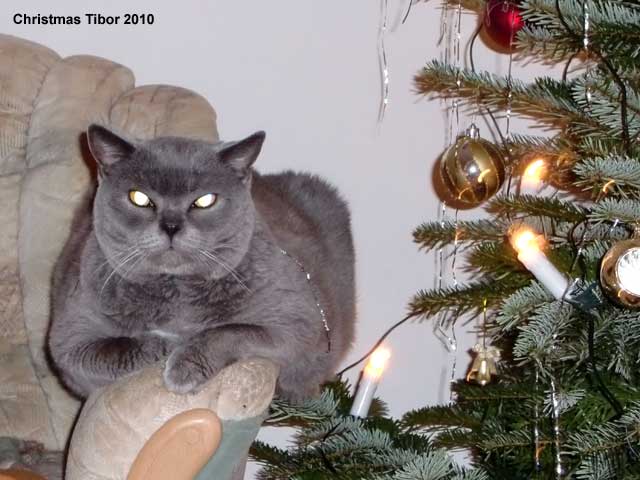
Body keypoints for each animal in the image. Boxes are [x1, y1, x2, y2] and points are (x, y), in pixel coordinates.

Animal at [48, 125, 356, 403]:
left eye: (205, 200)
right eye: (139, 198)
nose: (171, 226)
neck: (176, 291)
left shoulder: (300, 323)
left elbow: (229, 330)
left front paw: (184, 366)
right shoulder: (69, 340)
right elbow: (116, 348)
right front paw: (169, 343)